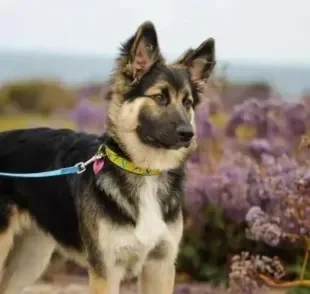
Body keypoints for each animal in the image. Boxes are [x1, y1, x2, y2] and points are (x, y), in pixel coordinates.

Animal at [0, 21, 214, 294]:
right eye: (159, 97)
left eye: (187, 102)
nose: (188, 133)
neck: (144, 171)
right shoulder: (107, 271)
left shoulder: (160, 266)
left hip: (30, 256)